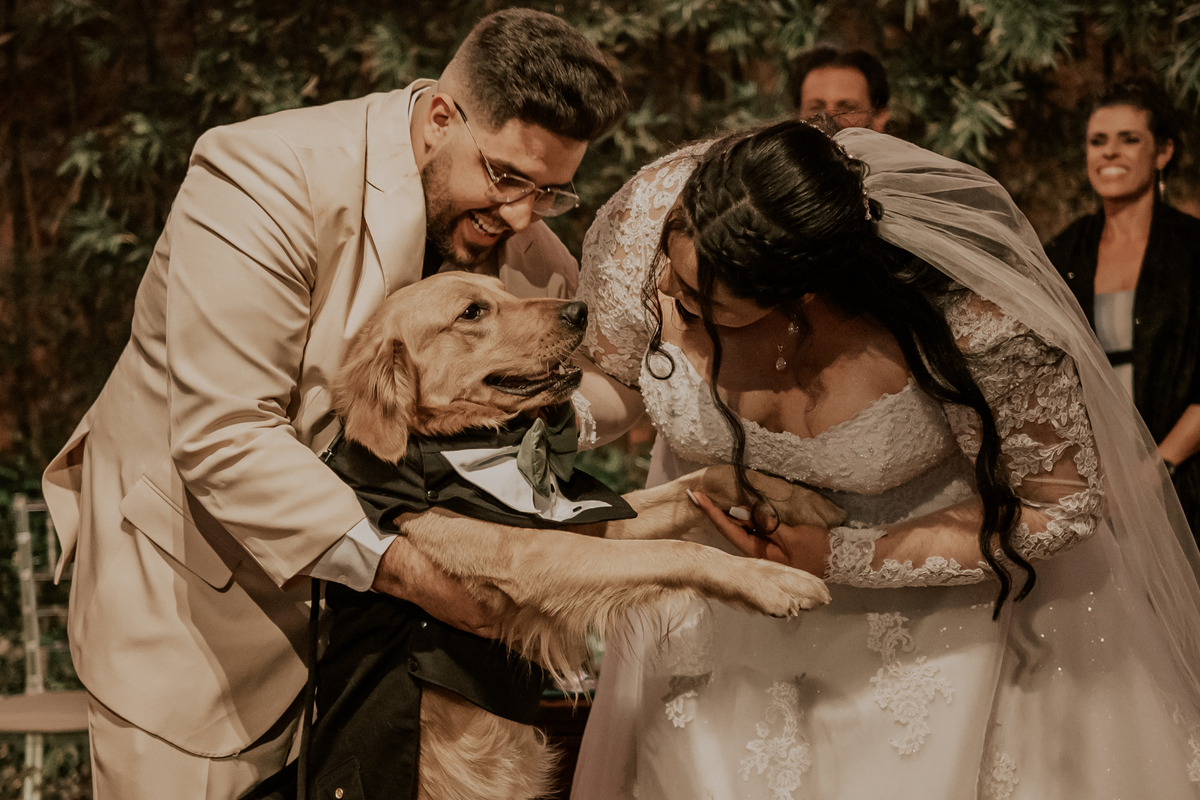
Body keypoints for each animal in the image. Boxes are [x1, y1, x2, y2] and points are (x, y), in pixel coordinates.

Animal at [315, 272, 843, 800]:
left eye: (501, 288)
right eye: (472, 313)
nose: (580, 310)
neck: (461, 447)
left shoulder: (590, 524)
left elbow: (706, 479)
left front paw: (793, 498)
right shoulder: (535, 555)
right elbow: (676, 551)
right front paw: (772, 580)